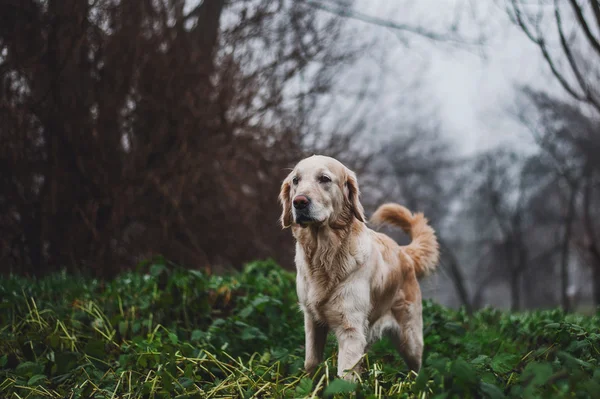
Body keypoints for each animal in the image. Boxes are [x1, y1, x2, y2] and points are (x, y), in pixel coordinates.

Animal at [278, 155, 438, 382]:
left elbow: (345, 377)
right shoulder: (312, 319)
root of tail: (403, 251)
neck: (325, 255)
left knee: (416, 368)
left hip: (410, 338)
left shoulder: (351, 328)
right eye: (295, 181)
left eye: (324, 179)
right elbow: (311, 362)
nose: (299, 201)